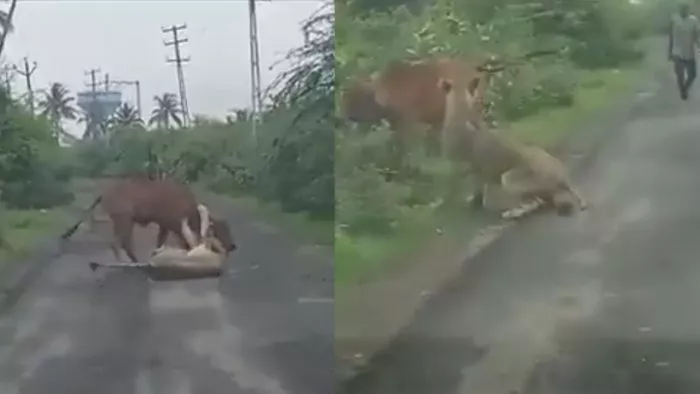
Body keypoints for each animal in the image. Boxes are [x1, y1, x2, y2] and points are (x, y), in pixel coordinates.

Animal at [76, 175, 235, 262]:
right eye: (220, 230)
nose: (232, 246)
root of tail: (105, 193)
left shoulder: (165, 226)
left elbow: (160, 242)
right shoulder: (174, 226)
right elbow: (182, 243)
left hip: (121, 222)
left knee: (115, 243)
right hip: (125, 221)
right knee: (125, 244)